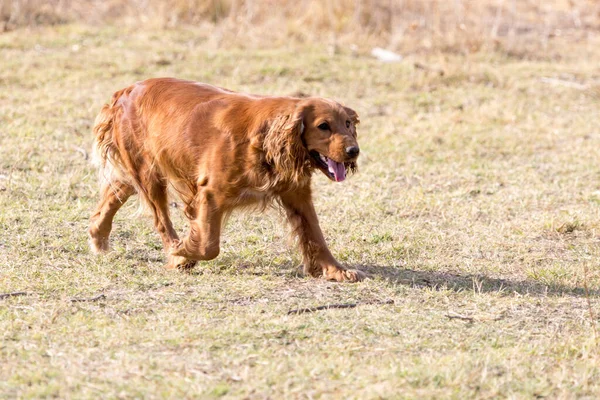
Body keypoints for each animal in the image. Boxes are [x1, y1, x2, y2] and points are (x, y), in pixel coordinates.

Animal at [86, 78, 364, 282]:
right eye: (323, 126)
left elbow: (316, 235)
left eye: (348, 123)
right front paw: (184, 251)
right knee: (161, 221)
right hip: (149, 173)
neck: (263, 138)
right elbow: (209, 246)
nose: (354, 151)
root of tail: (127, 90)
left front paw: (335, 270)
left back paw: (98, 236)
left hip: (136, 173)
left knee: (111, 199)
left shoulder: (297, 195)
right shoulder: (210, 194)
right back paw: (176, 254)